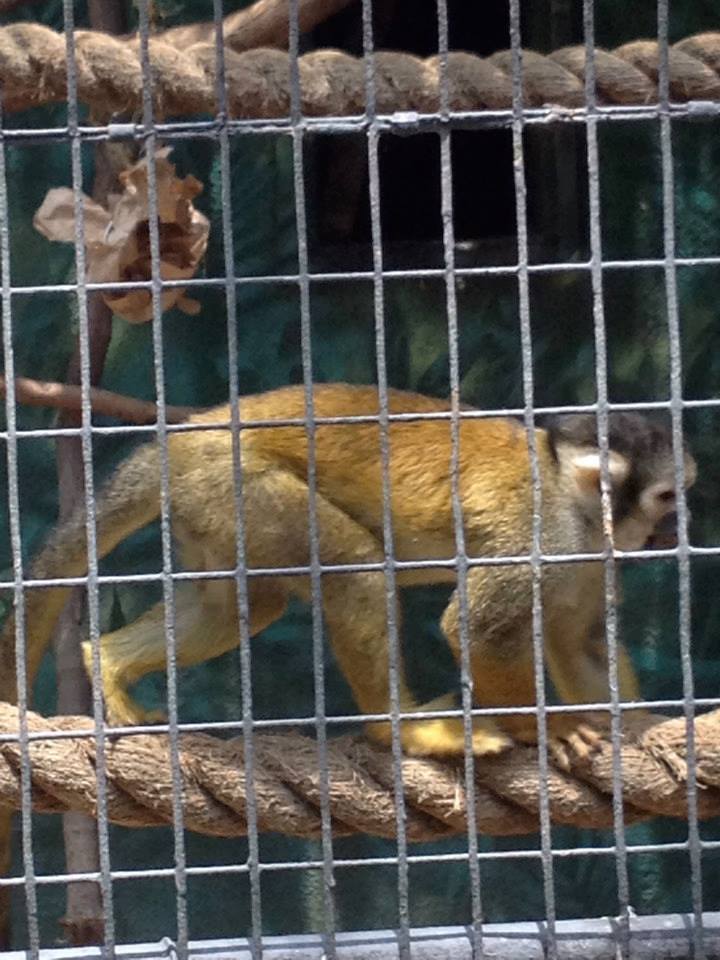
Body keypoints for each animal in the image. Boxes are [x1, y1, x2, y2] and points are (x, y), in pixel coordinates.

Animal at [0, 384, 696, 761]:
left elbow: (576, 640)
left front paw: (639, 725)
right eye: (667, 497)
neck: (573, 504)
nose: (677, 526)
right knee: (354, 569)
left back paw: (106, 663)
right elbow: (477, 629)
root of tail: (187, 437)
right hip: (238, 484)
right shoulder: (539, 531)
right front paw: (547, 730)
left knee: (240, 608)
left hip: (211, 506)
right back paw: (405, 732)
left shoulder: (590, 554)